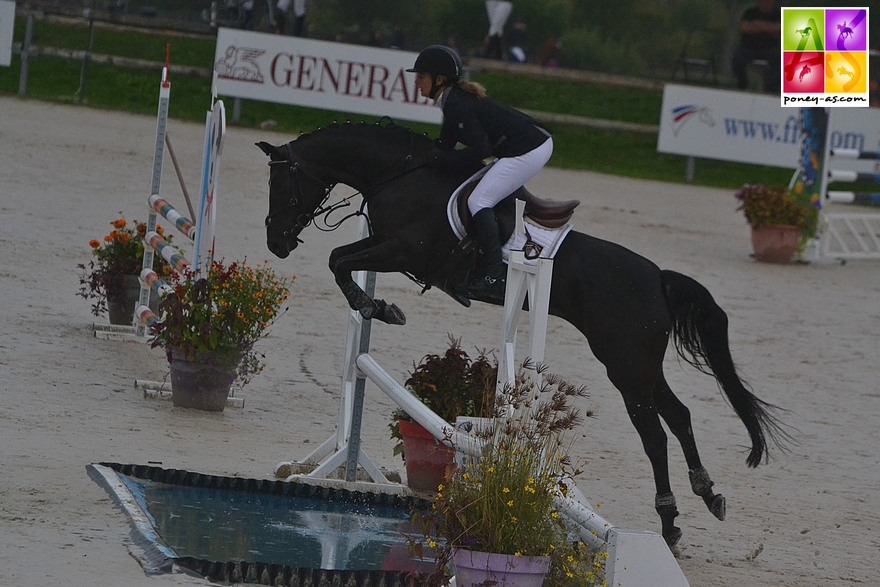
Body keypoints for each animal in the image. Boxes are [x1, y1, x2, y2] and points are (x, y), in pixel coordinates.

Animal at [258, 120, 788, 552]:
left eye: (280, 183)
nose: (276, 242)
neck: (400, 175)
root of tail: (658, 276)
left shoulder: (403, 250)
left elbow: (338, 261)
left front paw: (376, 306)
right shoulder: (385, 245)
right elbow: (341, 258)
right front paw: (378, 305)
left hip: (625, 365)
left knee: (655, 434)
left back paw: (670, 521)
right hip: (639, 364)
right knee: (678, 417)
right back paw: (707, 495)